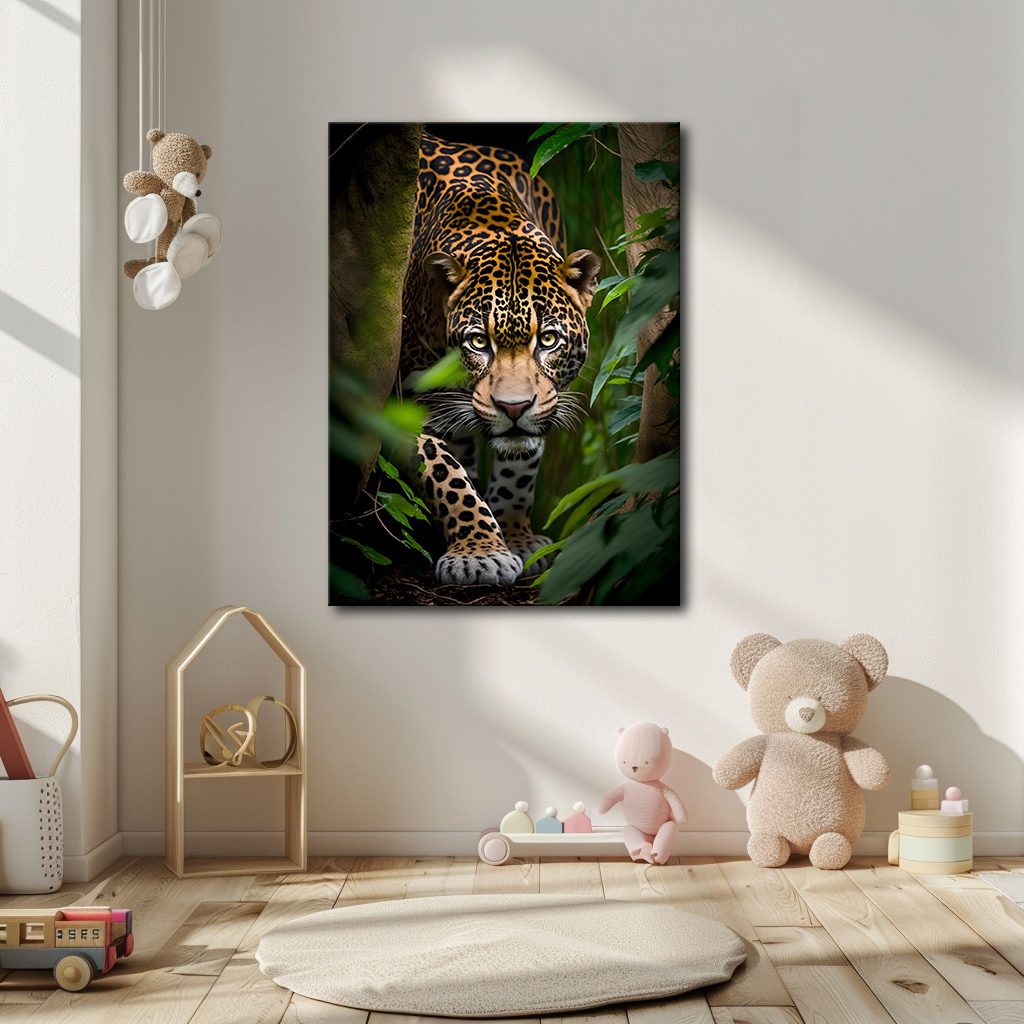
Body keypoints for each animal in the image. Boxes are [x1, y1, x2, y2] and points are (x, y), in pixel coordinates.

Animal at [401, 130, 600, 587]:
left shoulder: (543, 402)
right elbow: (445, 474)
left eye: (548, 339)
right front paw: (479, 552)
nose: (513, 407)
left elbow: (519, 469)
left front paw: (516, 537)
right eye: (478, 342)